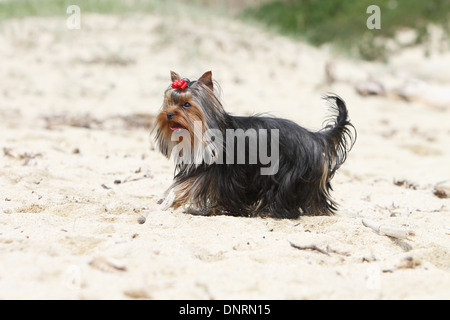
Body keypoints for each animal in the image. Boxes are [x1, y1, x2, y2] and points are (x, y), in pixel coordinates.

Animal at [154, 71, 356, 219]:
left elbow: (187, 185)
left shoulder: (215, 172)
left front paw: (172, 201)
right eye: (169, 102)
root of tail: (315, 137)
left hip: (289, 176)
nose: (168, 114)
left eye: (187, 105)